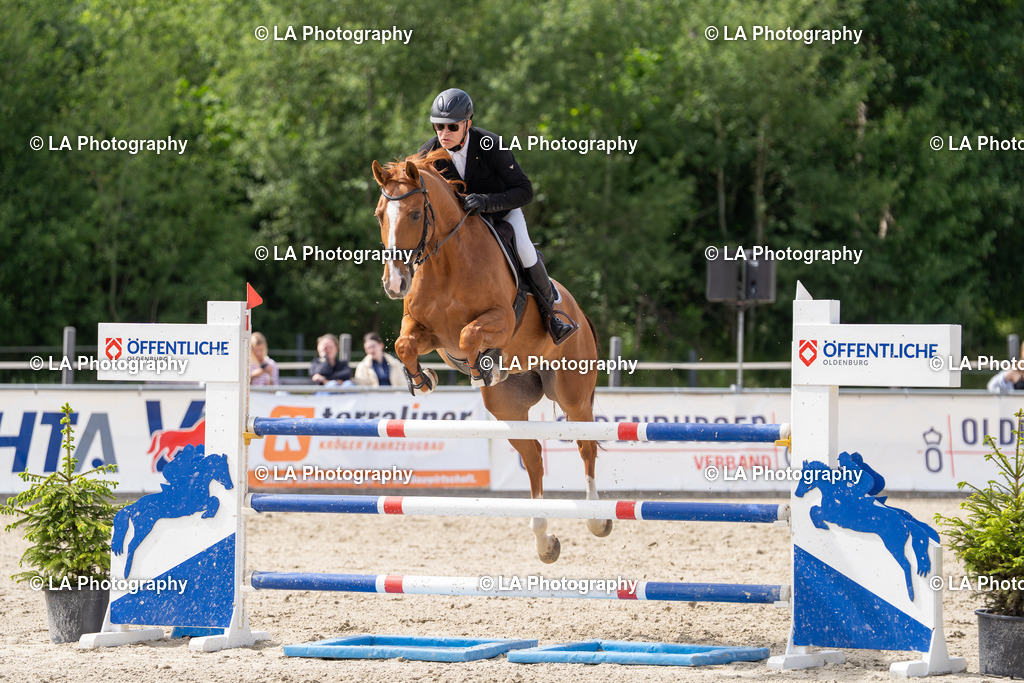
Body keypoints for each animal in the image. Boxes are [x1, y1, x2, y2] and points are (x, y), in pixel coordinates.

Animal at [111, 445, 233, 577]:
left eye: (227, 468)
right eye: (222, 469)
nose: (230, 486)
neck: (198, 482)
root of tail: (134, 507)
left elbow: (214, 500)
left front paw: (207, 514)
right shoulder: (195, 506)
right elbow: (214, 500)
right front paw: (207, 514)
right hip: (143, 527)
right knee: (131, 545)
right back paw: (127, 573)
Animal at [371, 151, 609, 563]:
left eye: (415, 214)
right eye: (380, 214)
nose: (395, 283)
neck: (447, 263)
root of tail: (578, 310)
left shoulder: (499, 320)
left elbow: (470, 335)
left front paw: (483, 365)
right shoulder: (425, 331)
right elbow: (404, 345)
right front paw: (424, 380)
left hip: (572, 394)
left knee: (586, 445)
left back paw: (596, 519)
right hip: (507, 409)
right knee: (533, 456)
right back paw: (544, 540)